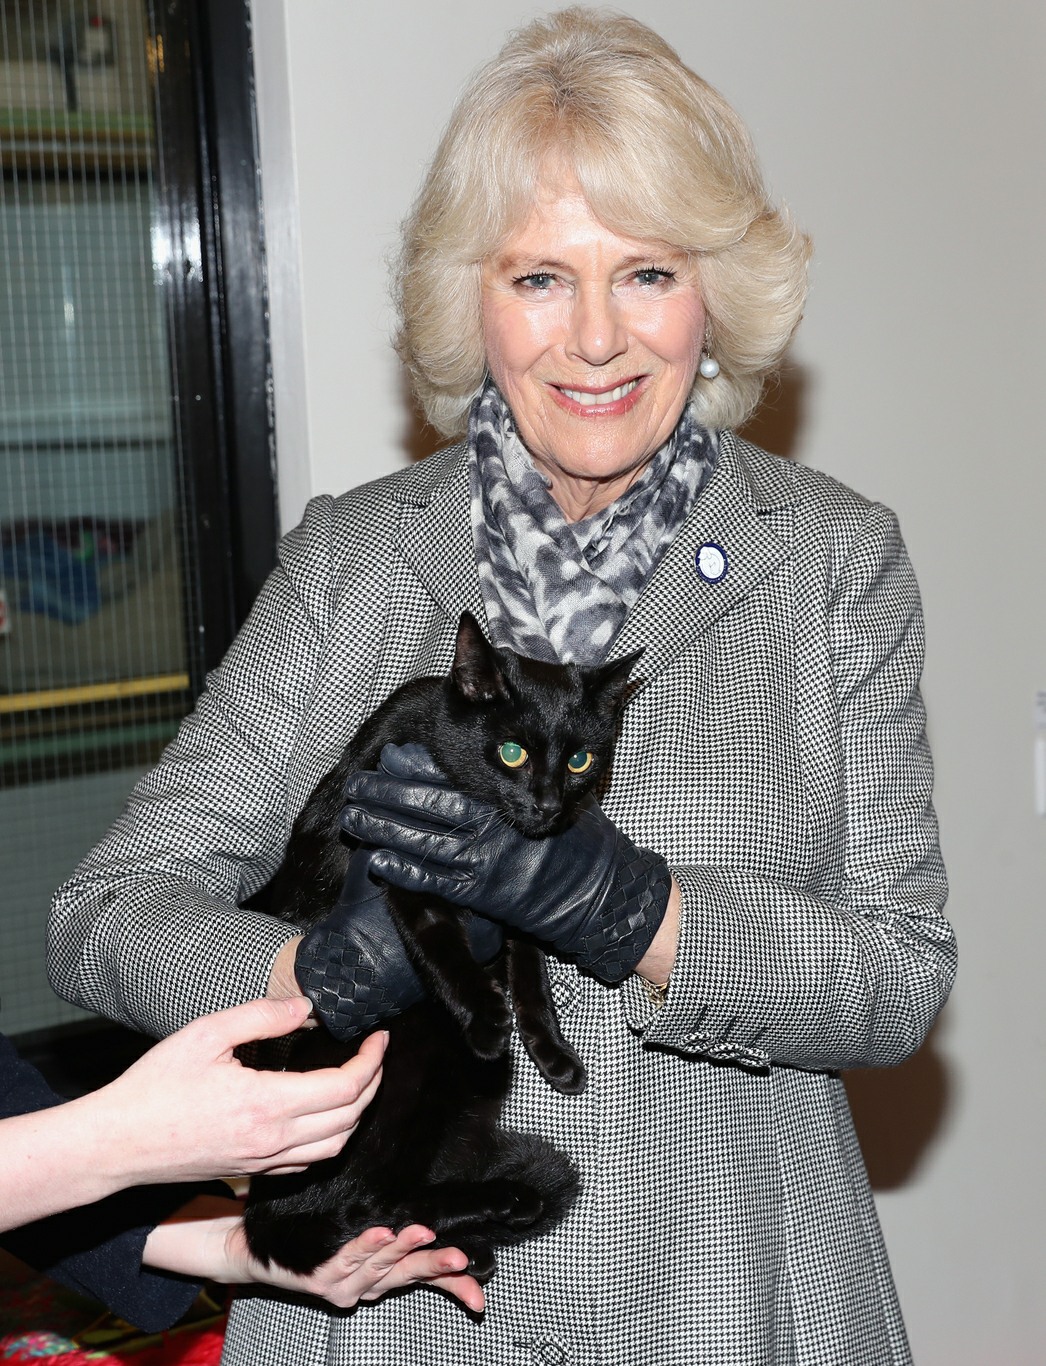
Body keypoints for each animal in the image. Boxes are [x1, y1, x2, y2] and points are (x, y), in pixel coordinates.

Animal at [243, 614, 639, 1273]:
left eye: (581, 760)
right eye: (512, 752)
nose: (549, 804)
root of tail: (261, 1213)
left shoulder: (509, 902)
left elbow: (528, 962)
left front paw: (550, 1049)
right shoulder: (398, 864)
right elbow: (438, 942)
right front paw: (486, 1017)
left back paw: (487, 1223)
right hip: (404, 1060)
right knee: (371, 1205)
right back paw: (501, 1199)